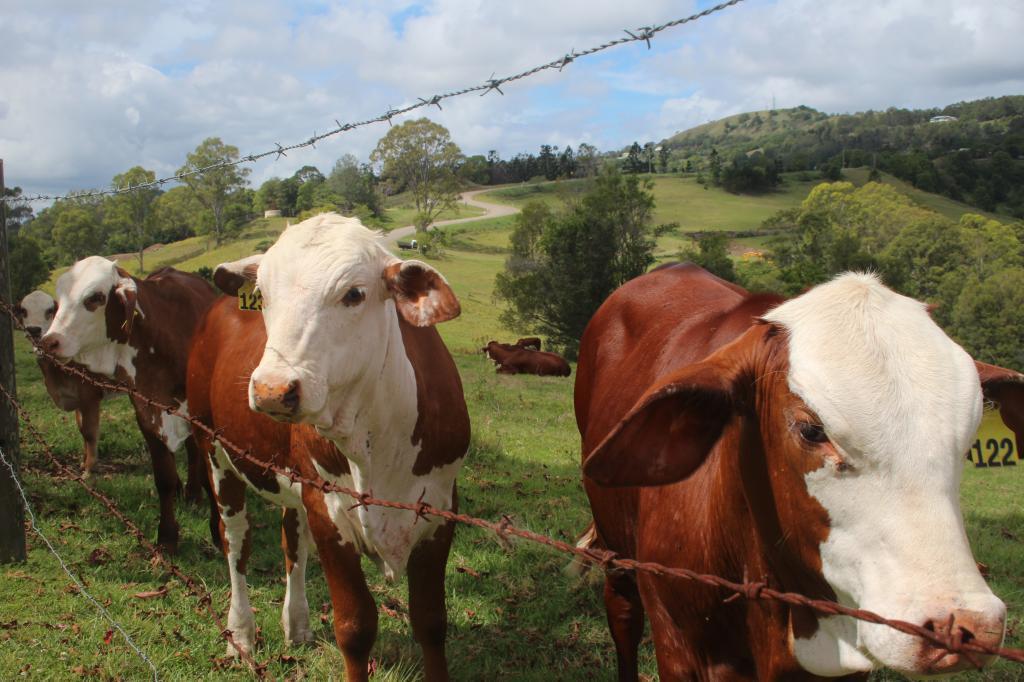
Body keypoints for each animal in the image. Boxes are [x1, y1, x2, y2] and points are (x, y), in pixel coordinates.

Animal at [15, 288, 109, 475]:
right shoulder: (78, 399)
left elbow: (89, 432)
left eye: (50, 310)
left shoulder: (90, 395)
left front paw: (89, 469)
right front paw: (83, 463)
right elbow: (82, 429)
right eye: (24, 310)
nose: (33, 329)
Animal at [39, 258, 220, 548]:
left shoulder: (203, 419)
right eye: (60, 297)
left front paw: (217, 532)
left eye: (95, 297)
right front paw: (167, 536)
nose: (50, 342)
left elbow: (209, 476)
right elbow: (163, 477)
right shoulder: (146, 412)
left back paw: (193, 494)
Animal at [196, 209, 471, 675]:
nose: (272, 390)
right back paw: (241, 634)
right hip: (215, 452)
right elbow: (355, 628)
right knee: (236, 543)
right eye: (263, 295)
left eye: (354, 293)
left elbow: (431, 622)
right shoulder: (328, 511)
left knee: (291, 540)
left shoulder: (439, 510)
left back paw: (297, 623)